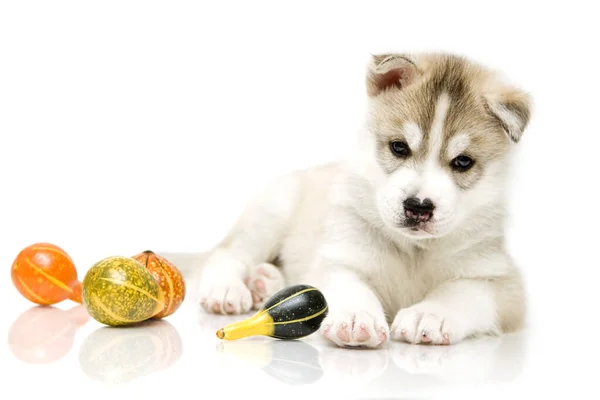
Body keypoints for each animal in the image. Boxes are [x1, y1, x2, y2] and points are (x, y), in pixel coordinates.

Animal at [197, 52, 528, 346]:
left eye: (462, 162)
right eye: (398, 147)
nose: (418, 207)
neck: (414, 252)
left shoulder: (501, 284)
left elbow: (461, 293)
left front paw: (430, 315)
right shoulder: (340, 257)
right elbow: (349, 285)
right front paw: (357, 317)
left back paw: (264, 283)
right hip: (272, 211)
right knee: (229, 252)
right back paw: (227, 290)